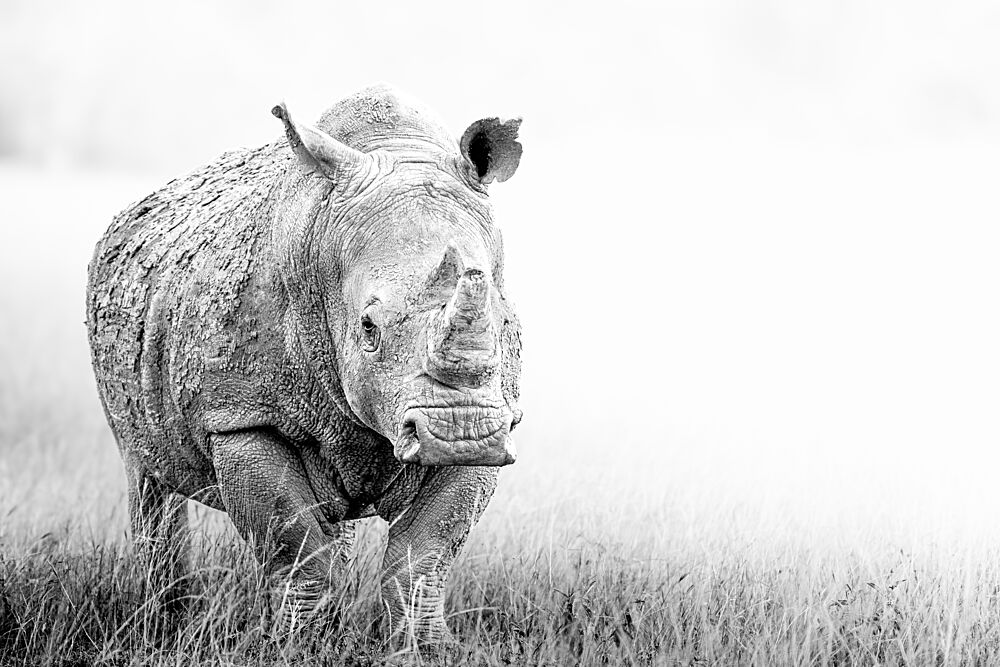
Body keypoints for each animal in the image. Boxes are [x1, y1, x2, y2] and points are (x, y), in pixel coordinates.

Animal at [85, 84, 523, 643]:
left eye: (499, 319)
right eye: (368, 329)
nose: (459, 432)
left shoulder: (496, 413)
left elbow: (425, 553)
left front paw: (425, 647)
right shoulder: (240, 416)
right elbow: (296, 548)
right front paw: (299, 644)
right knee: (147, 477)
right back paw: (165, 627)